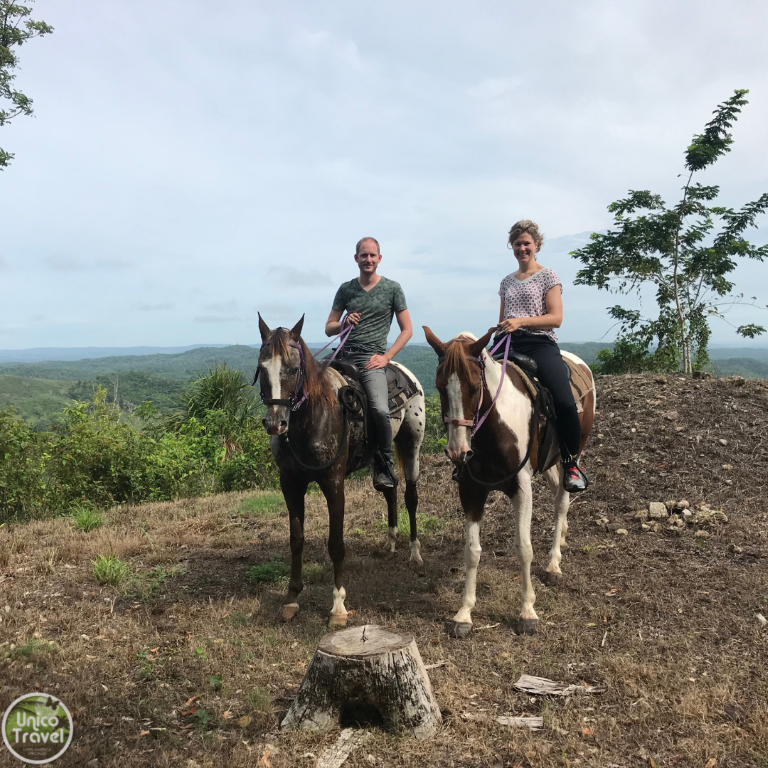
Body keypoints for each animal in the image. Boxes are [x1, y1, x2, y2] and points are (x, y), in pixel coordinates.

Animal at [256, 316, 426, 628]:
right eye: (262, 368)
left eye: (294, 369)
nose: (276, 424)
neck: (312, 419)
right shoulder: (290, 484)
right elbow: (296, 540)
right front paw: (292, 599)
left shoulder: (334, 484)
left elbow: (335, 544)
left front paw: (338, 606)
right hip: (379, 460)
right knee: (390, 489)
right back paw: (390, 543)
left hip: (411, 445)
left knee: (411, 496)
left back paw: (414, 552)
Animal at [424, 326, 596, 636]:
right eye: (440, 386)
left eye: (474, 387)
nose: (457, 451)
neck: (494, 426)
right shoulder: (470, 490)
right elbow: (472, 551)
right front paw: (464, 613)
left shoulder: (522, 489)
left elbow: (524, 548)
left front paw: (528, 612)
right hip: (549, 462)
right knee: (557, 495)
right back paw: (562, 538)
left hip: (573, 453)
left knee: (562, 500)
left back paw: (554, 564)